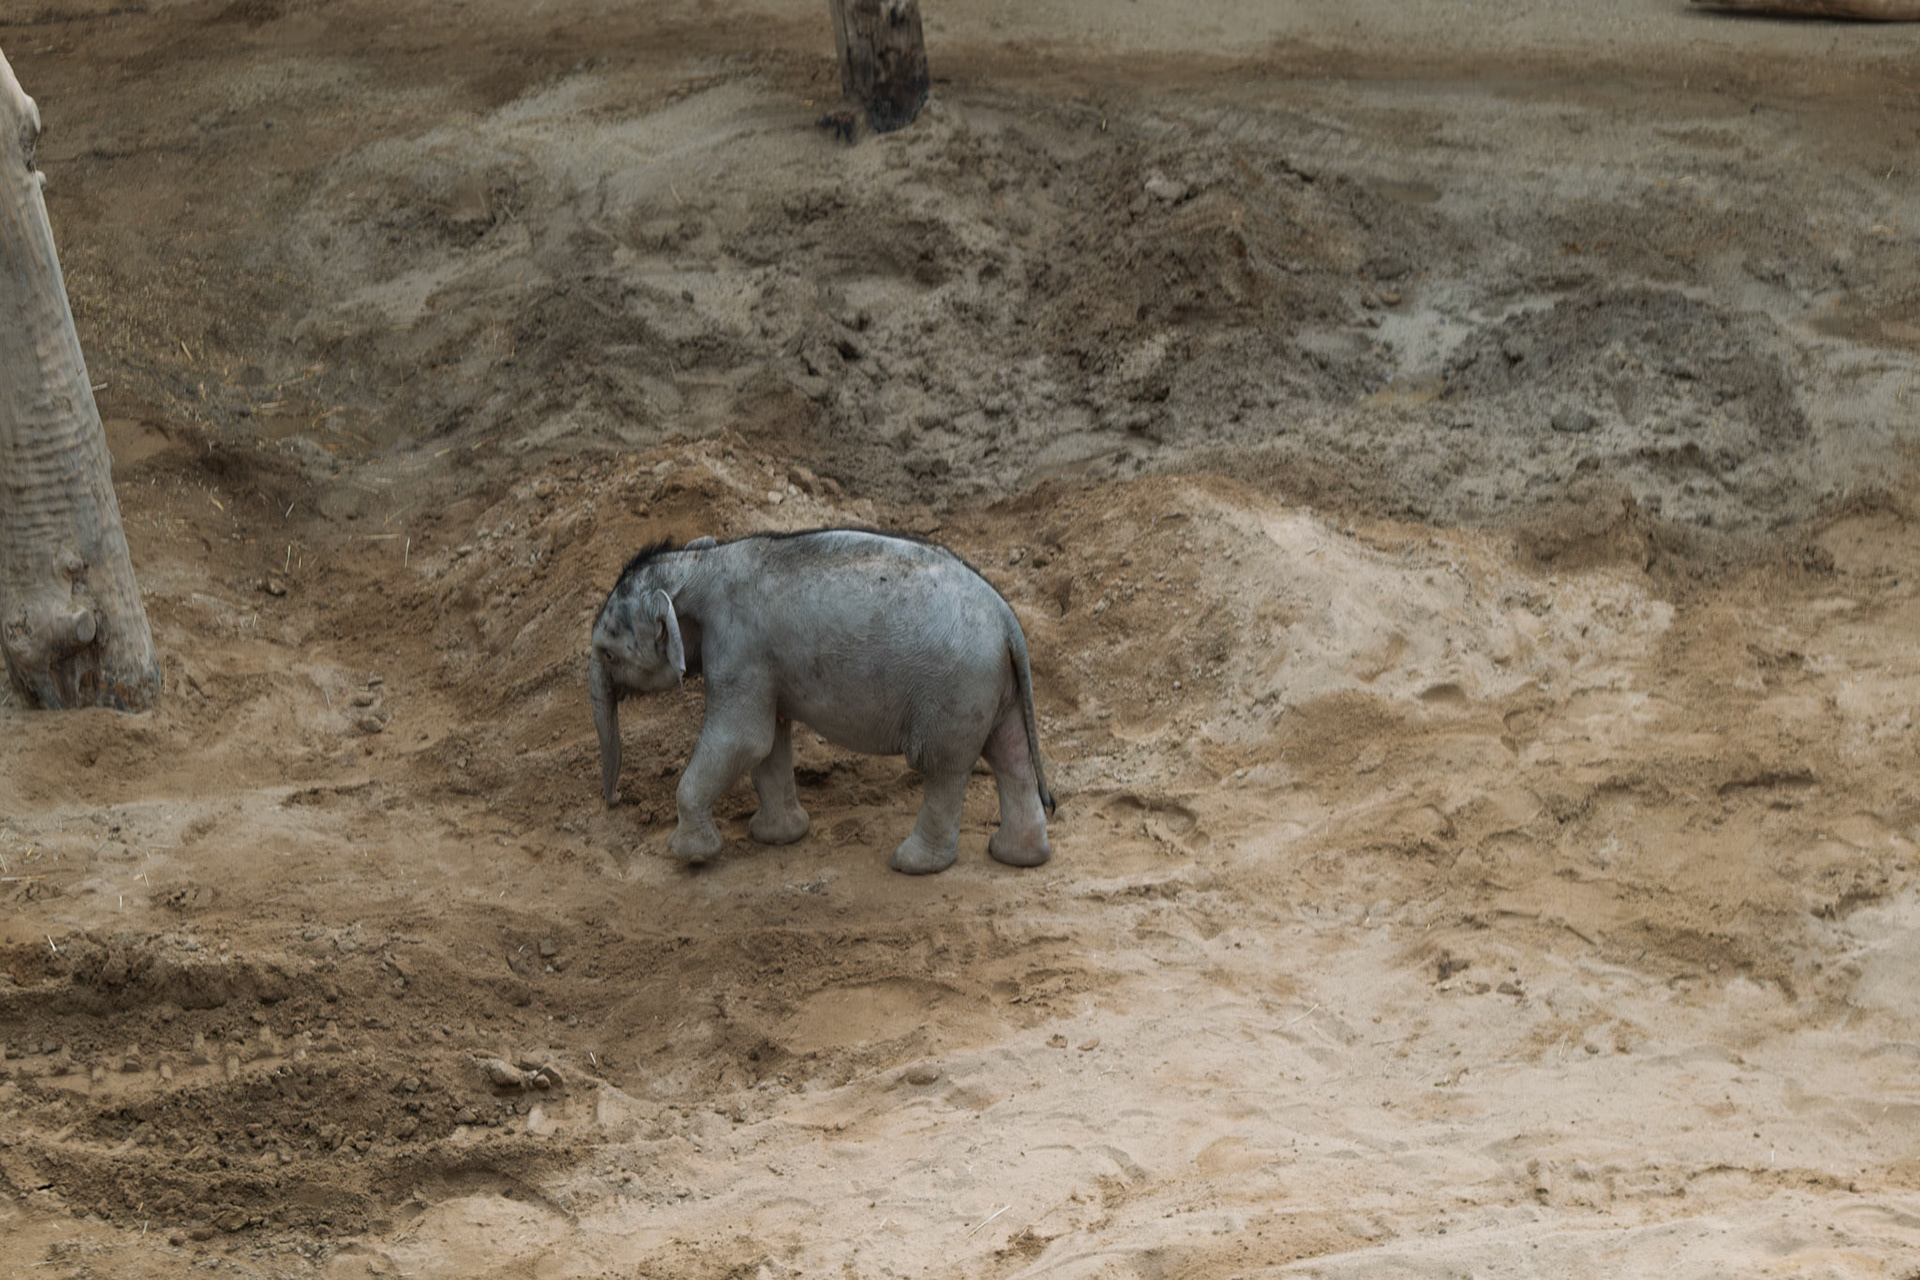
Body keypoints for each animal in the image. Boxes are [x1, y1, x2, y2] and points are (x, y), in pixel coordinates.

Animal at [590, 528, 1055, 874]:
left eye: (608, 654)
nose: (616, 799)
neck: (702, 564)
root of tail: (1008, 618)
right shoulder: (762, 665)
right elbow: (769, 744)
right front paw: (778, 837)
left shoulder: (739, 648)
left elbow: (744, 740)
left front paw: (690, 856)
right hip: (992, 686)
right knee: (1010, 756)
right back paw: (1016, 856)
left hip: (955, 688)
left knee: (942, 767)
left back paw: (912, 864)